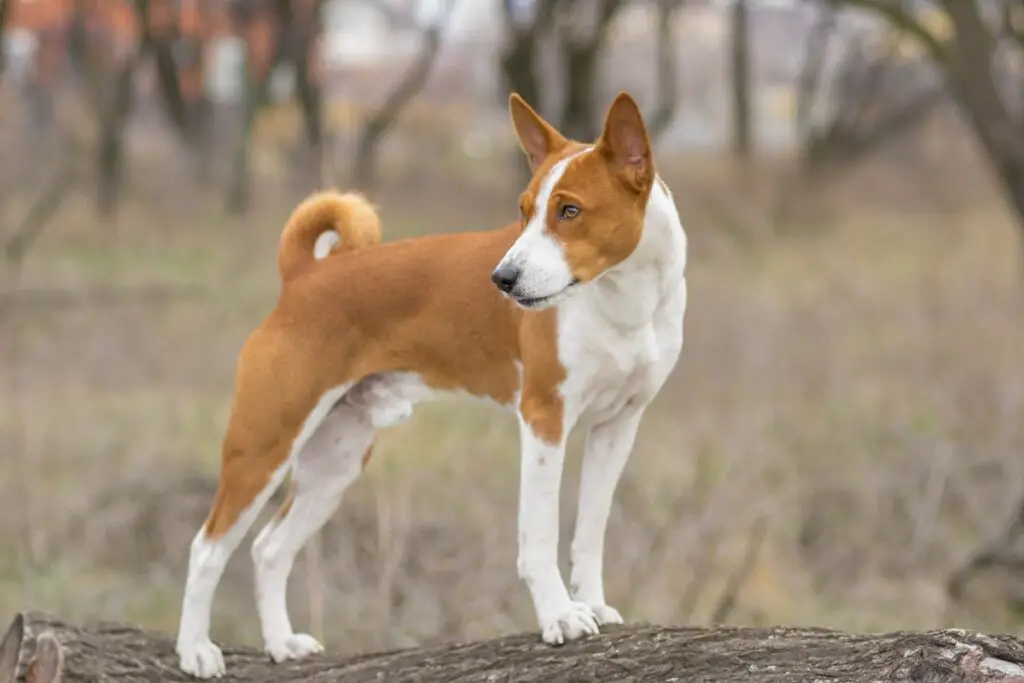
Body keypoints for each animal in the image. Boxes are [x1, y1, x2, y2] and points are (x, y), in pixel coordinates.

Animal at [174, 90, 688, 679]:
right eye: (523, 210)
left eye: (569, 210)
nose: (502, 280)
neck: (623, 301)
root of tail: (303, 275)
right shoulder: (544, 418)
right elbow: (539, 534)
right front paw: (559, 616)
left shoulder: (618, 425)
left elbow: (591, 531)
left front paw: (595, 604)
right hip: (264, 444)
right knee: (207, 548)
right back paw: (194, 651)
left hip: (336, 459)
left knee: (269, 548)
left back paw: (282, 643)